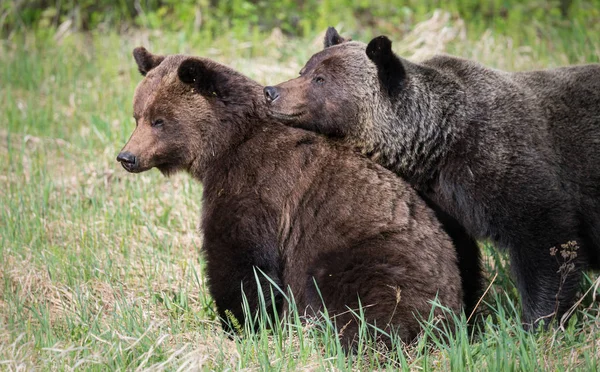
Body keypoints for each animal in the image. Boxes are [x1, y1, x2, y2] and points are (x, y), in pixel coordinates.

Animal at [117, 48, 464, 348]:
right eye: (137, 115)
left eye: (159, 120)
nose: (127, 157)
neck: (226, 144)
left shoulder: (258, 187)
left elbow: (241, 260)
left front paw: (239, 324)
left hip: (373, 256)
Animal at [264, 27, 600, 326]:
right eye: (304, 69)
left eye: (320, 79)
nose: (271, 92)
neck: (439, 147)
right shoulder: (443, 202)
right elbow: (457, 254)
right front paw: (468, 310)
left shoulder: (505, 163)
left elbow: (547, 241)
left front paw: (538, 321)